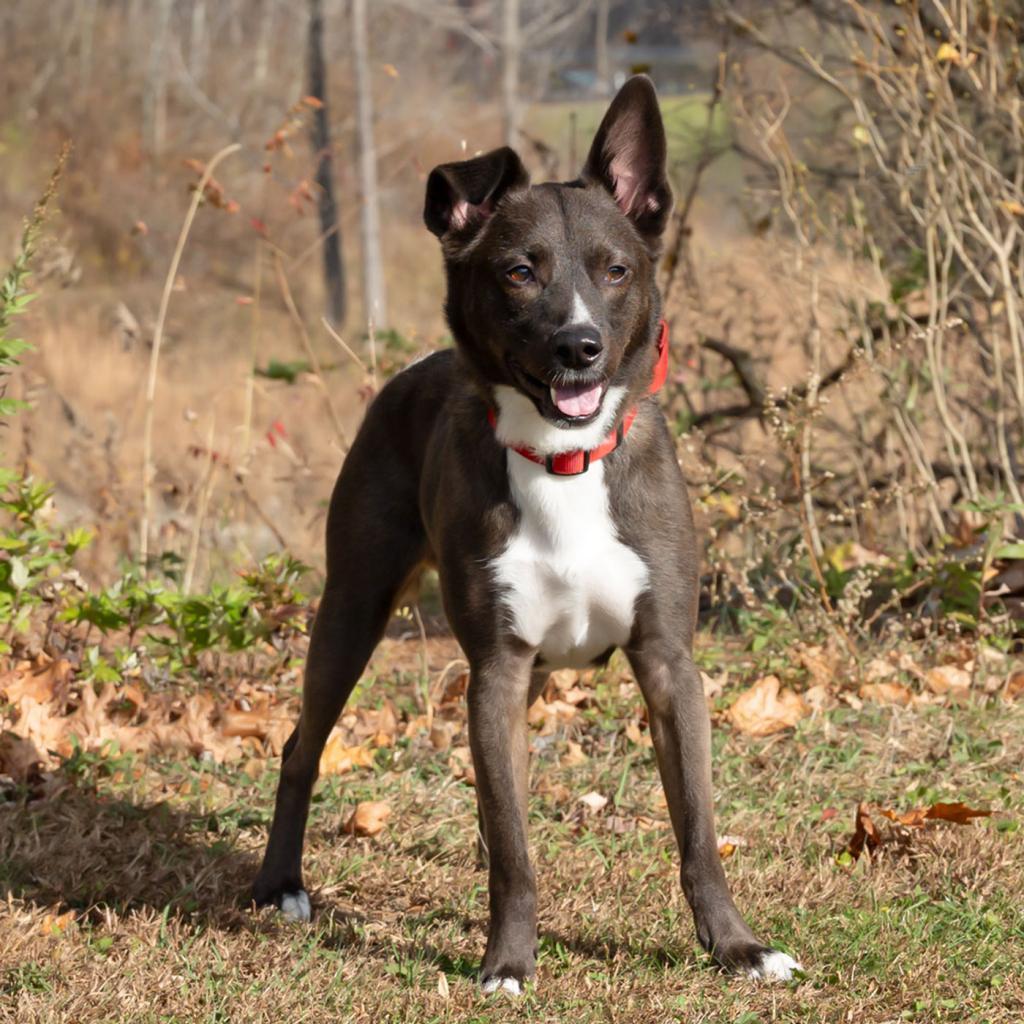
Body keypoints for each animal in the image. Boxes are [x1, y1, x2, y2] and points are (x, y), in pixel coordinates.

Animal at [253, 74, 798, 991]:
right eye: (517, 272)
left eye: (616, 270)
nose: (579, 346)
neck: (562, 461)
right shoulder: (498, 670)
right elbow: (513, 847)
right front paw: (508, 960)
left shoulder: (667, 663)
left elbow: (697, 833)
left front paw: (737, 947)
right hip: (355, 604)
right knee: (302, 744)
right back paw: (279, 885)